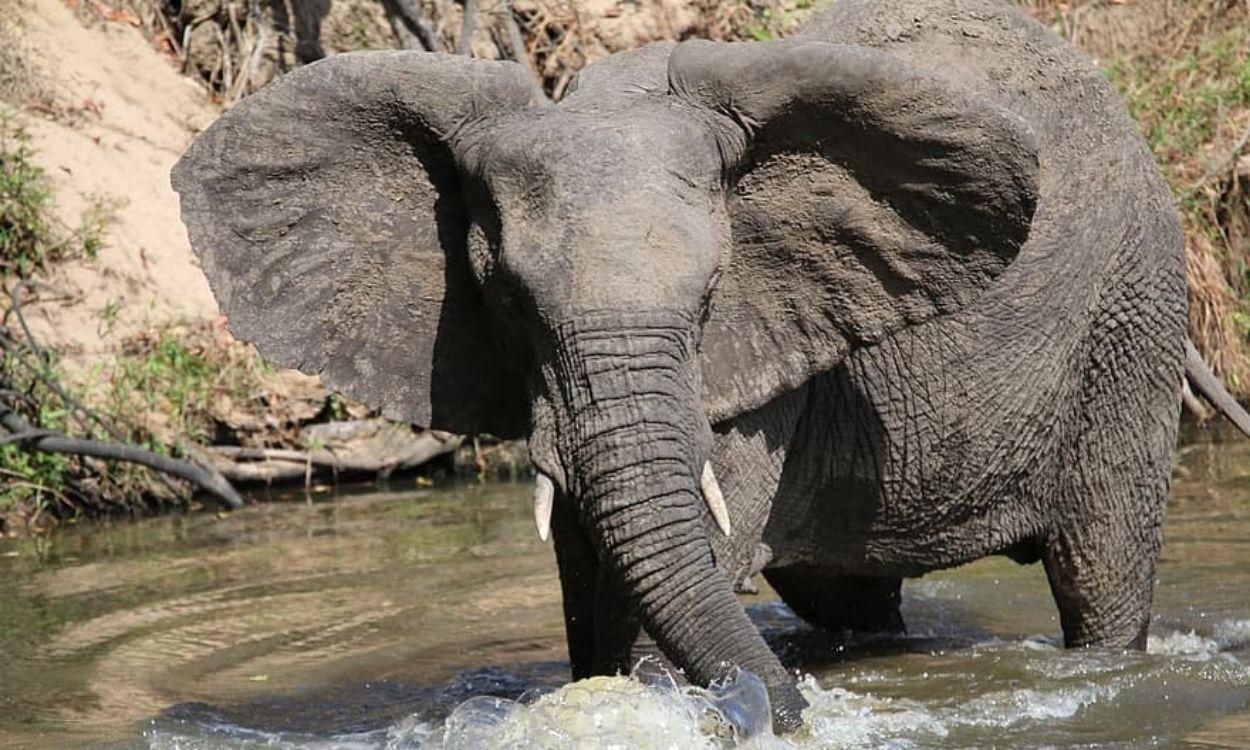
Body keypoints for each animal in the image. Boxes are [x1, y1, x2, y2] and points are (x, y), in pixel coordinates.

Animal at [171, 0, 1245, 730]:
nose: (789, 715)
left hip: (1130, 311)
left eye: (708, 298)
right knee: (848, 596)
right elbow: (592, 584)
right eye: (509, 302)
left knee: (1100, 567)